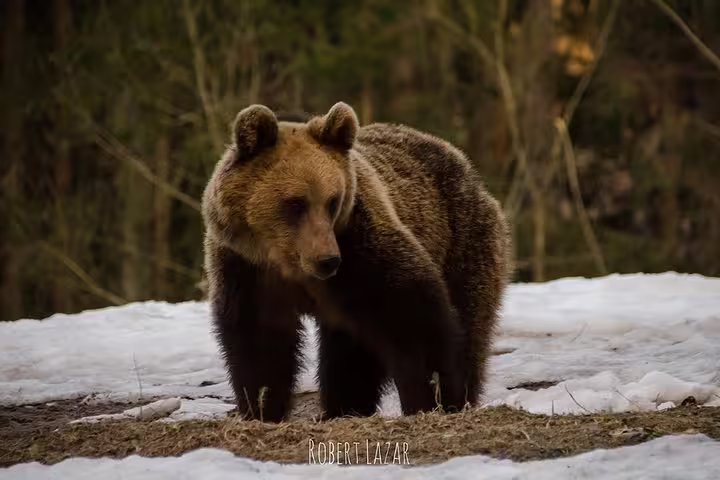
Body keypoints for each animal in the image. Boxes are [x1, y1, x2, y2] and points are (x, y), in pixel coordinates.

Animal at [201, 102, 511, 422]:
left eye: (332, 201)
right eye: (295, 203)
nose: (327, 260)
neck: (288, 263)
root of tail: (461, 161)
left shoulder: (360, 252)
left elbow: (414, 318)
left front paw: (436, 399)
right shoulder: (247, 269)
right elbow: (260, 342)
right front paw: (262, 407)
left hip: (461, 239)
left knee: (468, 320)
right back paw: (343, 408)